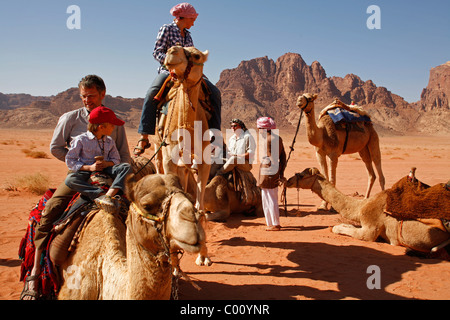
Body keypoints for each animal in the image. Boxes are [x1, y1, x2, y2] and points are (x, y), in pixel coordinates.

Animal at [155, 45, 211, 210]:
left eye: (197, 56)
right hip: (157, 143)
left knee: (184, 171)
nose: (172, 51)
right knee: (158, 163)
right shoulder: (169, 157)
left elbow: (200, 198)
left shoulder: (204, 156)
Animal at [286, 168, 448, 255]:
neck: (361, 207)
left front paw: (335, 228)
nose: (288, 181)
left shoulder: (370, 228)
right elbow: (346, 226)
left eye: (302, 175)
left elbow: (347, 231)